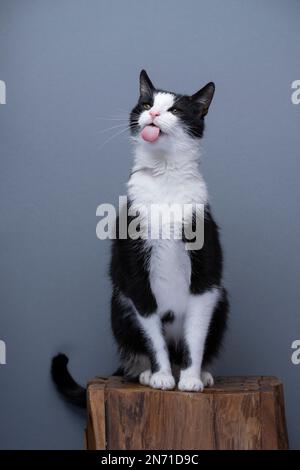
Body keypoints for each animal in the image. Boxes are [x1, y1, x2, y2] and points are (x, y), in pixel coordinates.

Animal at [51, 70, 229, 408]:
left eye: (175, 110)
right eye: (147, 103)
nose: (154, 114)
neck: (166, 177)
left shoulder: (205, 269)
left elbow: (196, 333)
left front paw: (190, 380)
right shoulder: (133, 270)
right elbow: (150, 330)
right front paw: (161, 376)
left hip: (222, 299)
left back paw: (200, 373)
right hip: (118, 302)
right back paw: (145, 372)